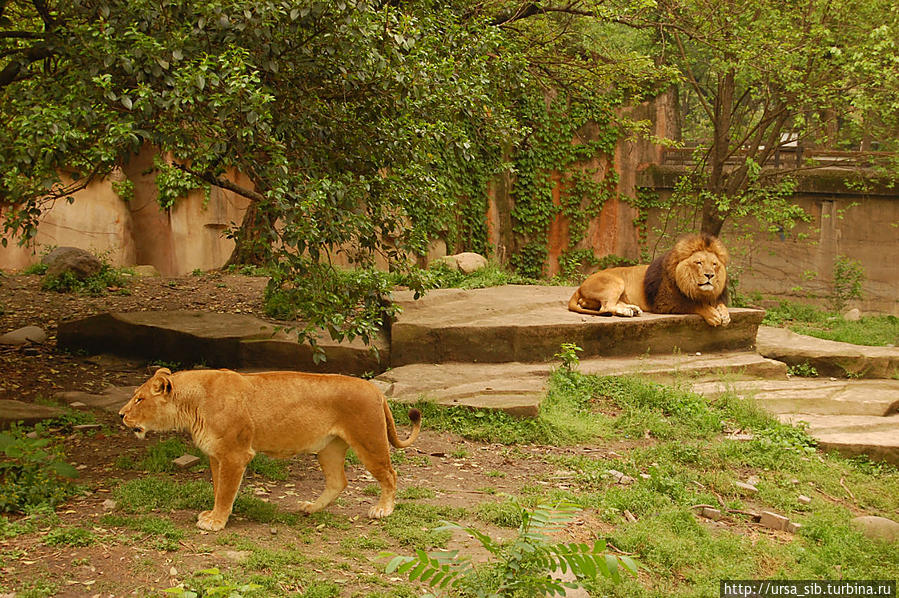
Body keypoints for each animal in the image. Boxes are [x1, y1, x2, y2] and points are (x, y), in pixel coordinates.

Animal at [118, 368, 422, 532]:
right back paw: (311, 508)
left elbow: (225, 490)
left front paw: (216, 521)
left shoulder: (235, 454)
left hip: (369, 440)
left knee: (390, 475)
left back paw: (383, 510)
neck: (192, 404)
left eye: (139, 399)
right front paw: (214, 515)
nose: (121, 415)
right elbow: (218, 488)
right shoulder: (215, 454)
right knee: (339, 481)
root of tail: (377, 390)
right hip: (329, 448)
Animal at [568, 234, 732, 328]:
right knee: (605, 308)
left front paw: (725, 315)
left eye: (714, 264)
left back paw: (632, 309)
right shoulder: (665, 303)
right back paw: (626, 311)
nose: (710, 275)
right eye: (699, 263)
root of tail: (580, 286)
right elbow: (694, 304)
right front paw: (713, 315)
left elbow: (722, 305)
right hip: (616, 282)